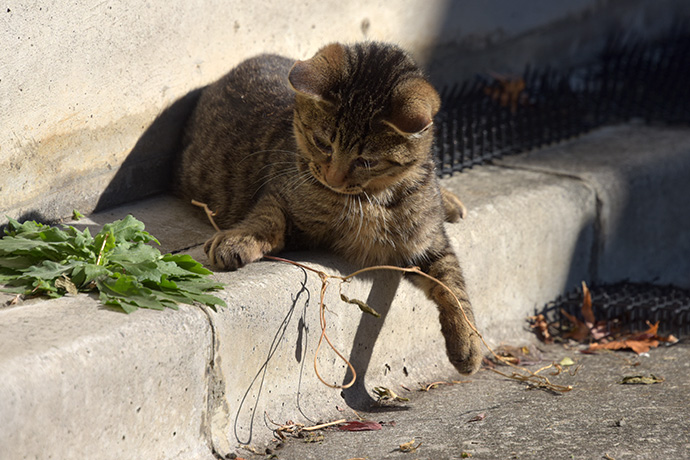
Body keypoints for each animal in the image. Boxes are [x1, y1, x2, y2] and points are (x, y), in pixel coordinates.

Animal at [175, 42, 482, 374]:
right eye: (322, 143)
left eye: (366, 161)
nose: (333, 177)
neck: (372, 199)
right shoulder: (279, 195)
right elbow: (265, 220)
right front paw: (237, 240)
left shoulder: (429, 242)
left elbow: (453, 287)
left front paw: (468, 342)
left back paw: (448, 199)